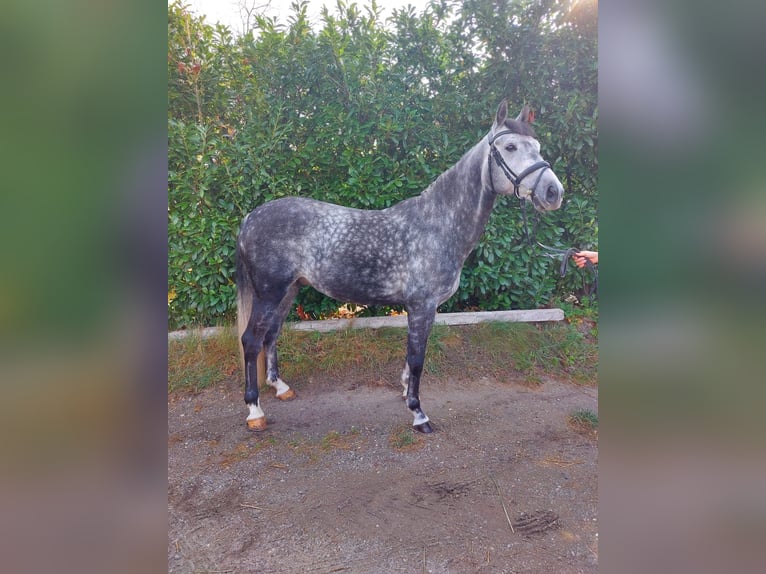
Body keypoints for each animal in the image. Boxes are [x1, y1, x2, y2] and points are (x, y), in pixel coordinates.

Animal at [236, 100, 564, 434]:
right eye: (510, 147)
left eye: (538, 146)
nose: (554, 192)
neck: (437, 224)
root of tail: (250, 218)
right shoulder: (422, 305)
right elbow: (418, 358)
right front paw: (419, 414)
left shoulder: (423, 308)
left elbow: (413, 357)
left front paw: (406, 390)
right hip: (269, 293)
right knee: (251, 340)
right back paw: (255, 411)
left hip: (288, 291)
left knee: (271, 335)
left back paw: (280, 388)